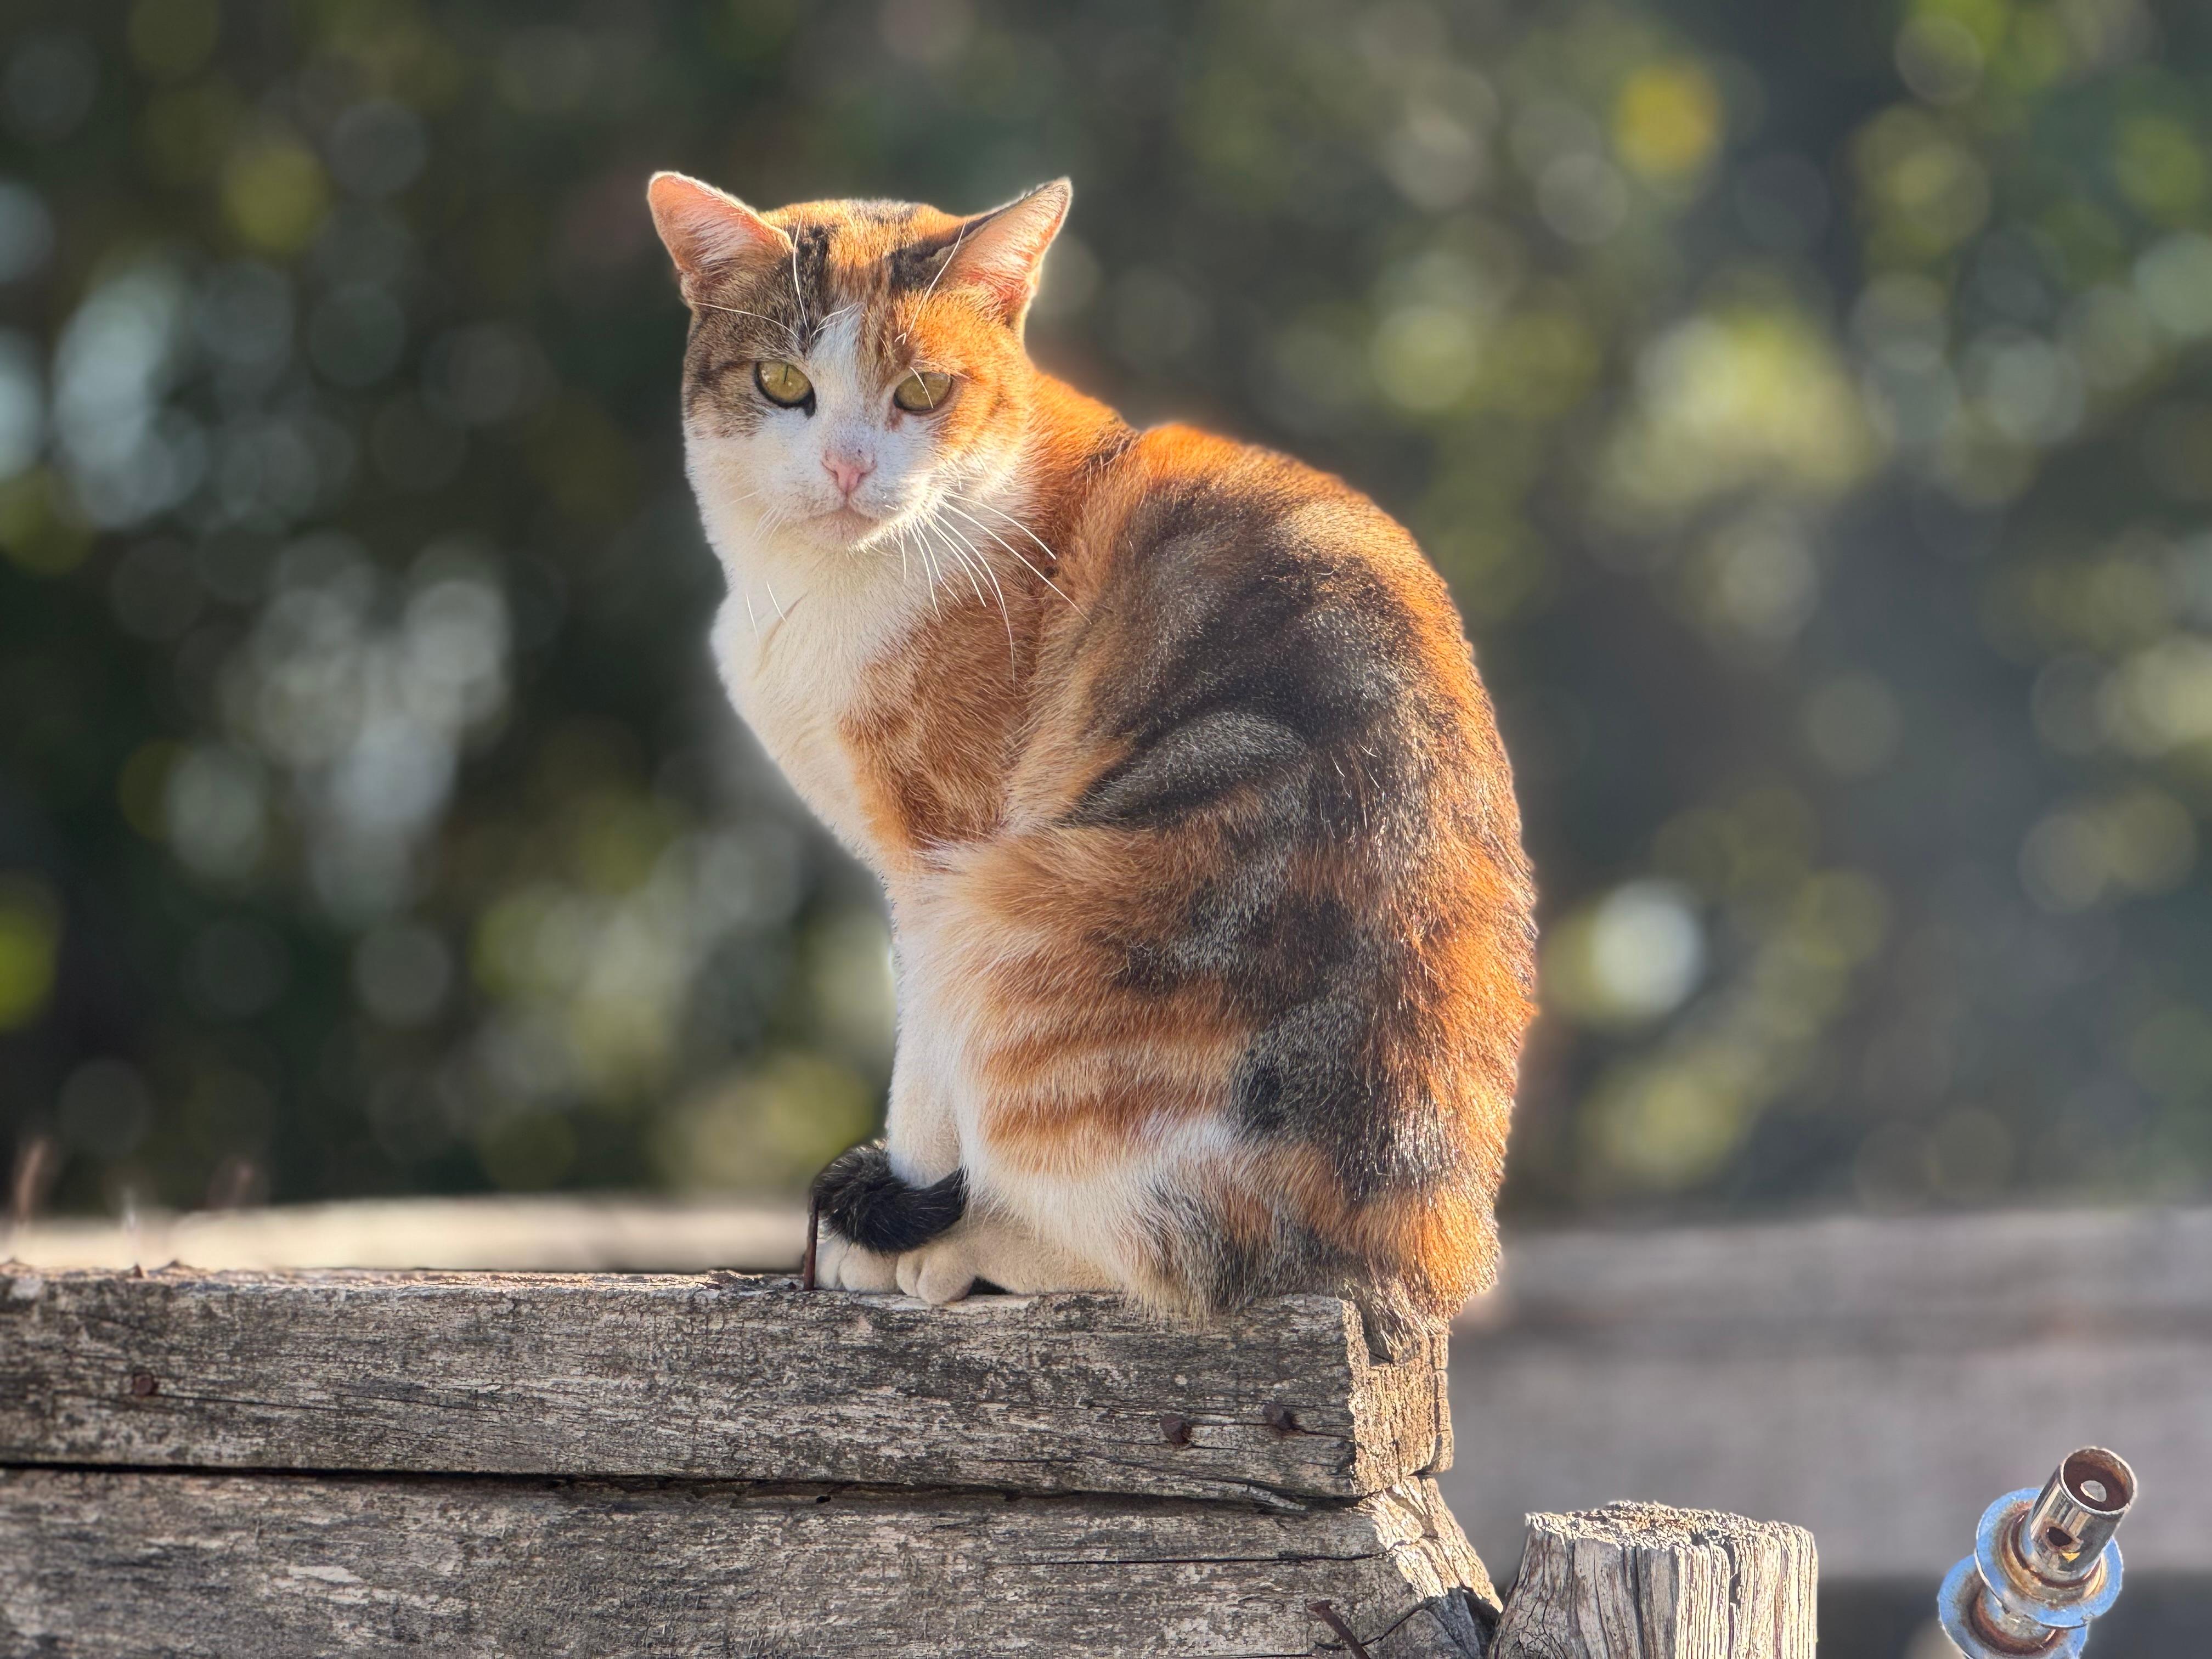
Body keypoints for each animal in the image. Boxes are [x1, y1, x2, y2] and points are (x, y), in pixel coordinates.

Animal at [646, 169, 1531, 1353]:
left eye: (922, 391)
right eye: (783, 384)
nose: (845, 467)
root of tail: (1418, 1257)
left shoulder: (942, 859)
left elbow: (922, 1070)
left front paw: (891, 1229)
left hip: (1019, 914)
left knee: (1182, 1251)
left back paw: (967, 1245)